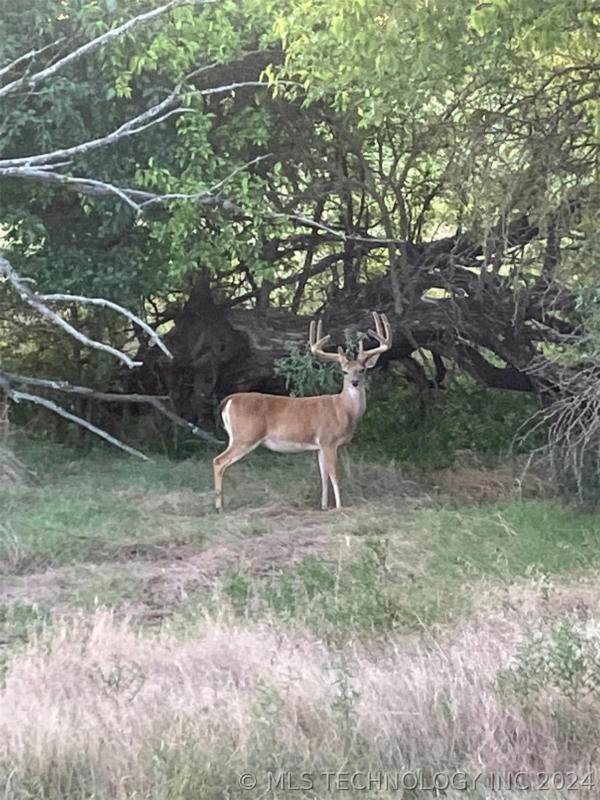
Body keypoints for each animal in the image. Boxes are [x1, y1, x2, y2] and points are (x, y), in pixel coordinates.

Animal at [213, 312, 392, 512]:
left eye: (362, 370)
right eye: (345, 371)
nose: (355, 382)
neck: (343, 409)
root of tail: (228, 400)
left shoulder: (320, 446)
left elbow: (323, 475)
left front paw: (324, 506)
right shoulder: (329, 440)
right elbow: (334, 475)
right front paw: (339, 506)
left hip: (239, 437)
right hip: (245, 436)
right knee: (218, 461)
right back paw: (219, 506)